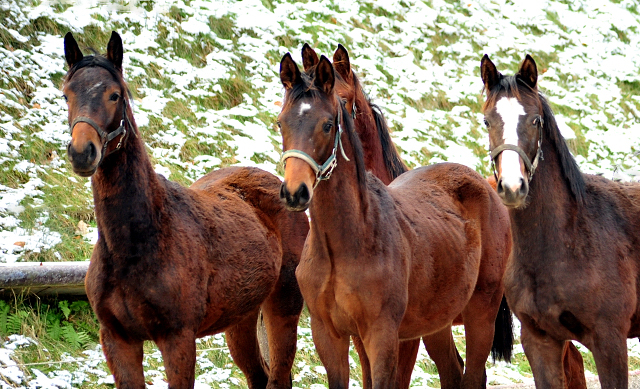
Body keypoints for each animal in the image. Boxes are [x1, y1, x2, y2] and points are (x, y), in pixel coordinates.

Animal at [63, 31, 308, 388]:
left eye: (114, 95)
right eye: (66, 94)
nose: (83, 153)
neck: (141, 241)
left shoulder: (177, 339)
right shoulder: (117, 339)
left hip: (283, 308)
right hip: (241, 318)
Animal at [278, 52, 512, 388]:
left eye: (327, 124)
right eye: (281, 122)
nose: (295, 192)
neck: (347, 242)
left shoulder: (384, 336)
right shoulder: (329, 335)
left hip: (481, 312)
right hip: (436, 321)